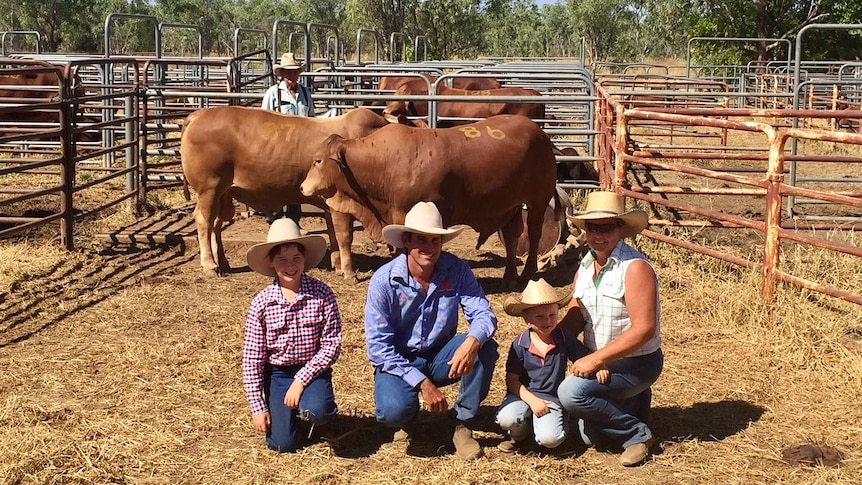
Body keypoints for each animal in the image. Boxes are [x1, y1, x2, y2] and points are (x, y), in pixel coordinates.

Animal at [181, 107, 390, 278]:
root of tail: (197, 115)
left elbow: (333, 233)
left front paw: (337, 265)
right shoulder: (342, 204)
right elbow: (344, 236)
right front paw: (348, 272)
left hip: (223, 194)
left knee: (216, 224)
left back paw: (223, 263)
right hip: (209, 188)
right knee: (204, 221)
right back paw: (210, 266)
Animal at [302, 115, 560, 286]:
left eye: (317, 161)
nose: (303, 187)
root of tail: (540, 133)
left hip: (538, 200)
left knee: (534, 233)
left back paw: (528, 272)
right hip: (511, 206)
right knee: (512, 235)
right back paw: (510, 275)